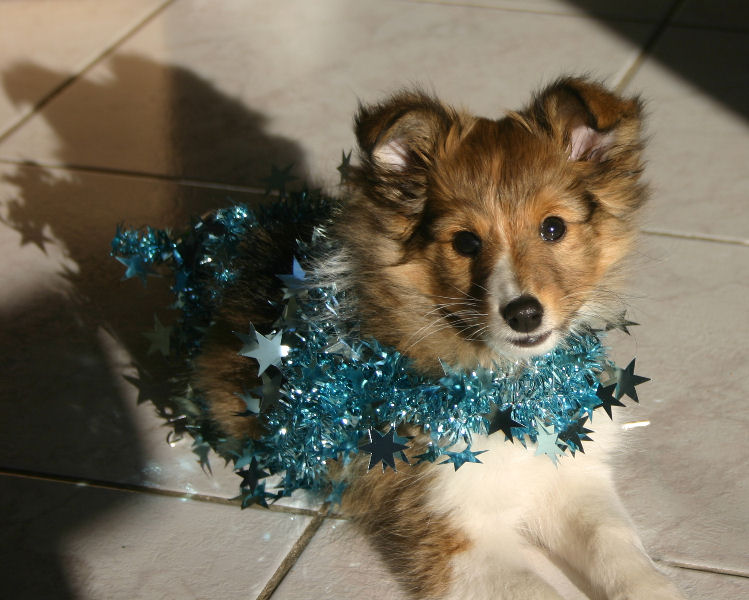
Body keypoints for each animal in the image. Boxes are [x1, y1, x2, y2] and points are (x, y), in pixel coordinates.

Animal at [196, 78, 688, 600]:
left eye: (553, 227)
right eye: (465, 242)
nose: (524, 314)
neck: (512, 389)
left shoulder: (573, 477)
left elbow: (618, 546)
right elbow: (539, 592)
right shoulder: (450, 533)